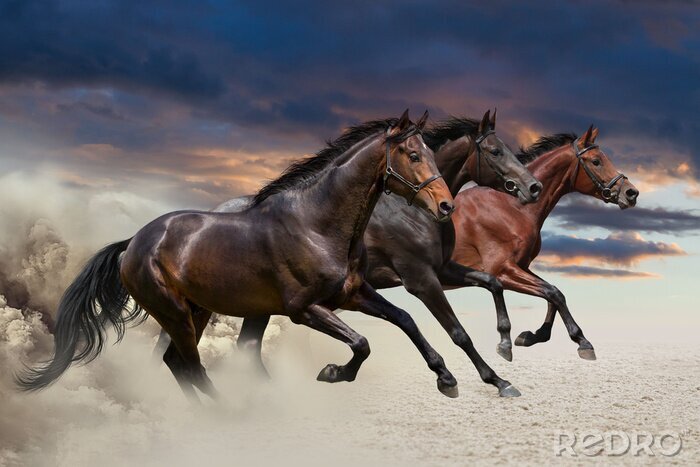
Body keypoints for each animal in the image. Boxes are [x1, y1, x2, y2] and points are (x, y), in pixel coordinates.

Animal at [17, 110, 463, 401]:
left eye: (430, 152)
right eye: (412, 154)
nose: (446, 206)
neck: (316, 225)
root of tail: (133, 242)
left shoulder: (353, 294)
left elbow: (404, 319)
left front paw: (446, 379)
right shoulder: (305, 309)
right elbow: (363, 342)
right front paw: (333, 373)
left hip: (195, 311)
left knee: (177, 363)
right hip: (173, 312)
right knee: (191, 365)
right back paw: (232, 416)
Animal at [165, 109, 543, 398]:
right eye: (495, 151)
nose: (532, 188)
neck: (409, 210)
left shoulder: (443, 269)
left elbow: (491, 283)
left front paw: (505, 346)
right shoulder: (420, 279)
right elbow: (457, 331)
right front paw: (494, 379)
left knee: (242, 347)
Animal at [450, 126, 639, 360]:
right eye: (596, 161)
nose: (631, 193)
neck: (512, 207)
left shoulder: (520, 267)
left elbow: (553, 293)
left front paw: (533, 335)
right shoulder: (501, 270)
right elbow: (553, 293)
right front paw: (582, 341)